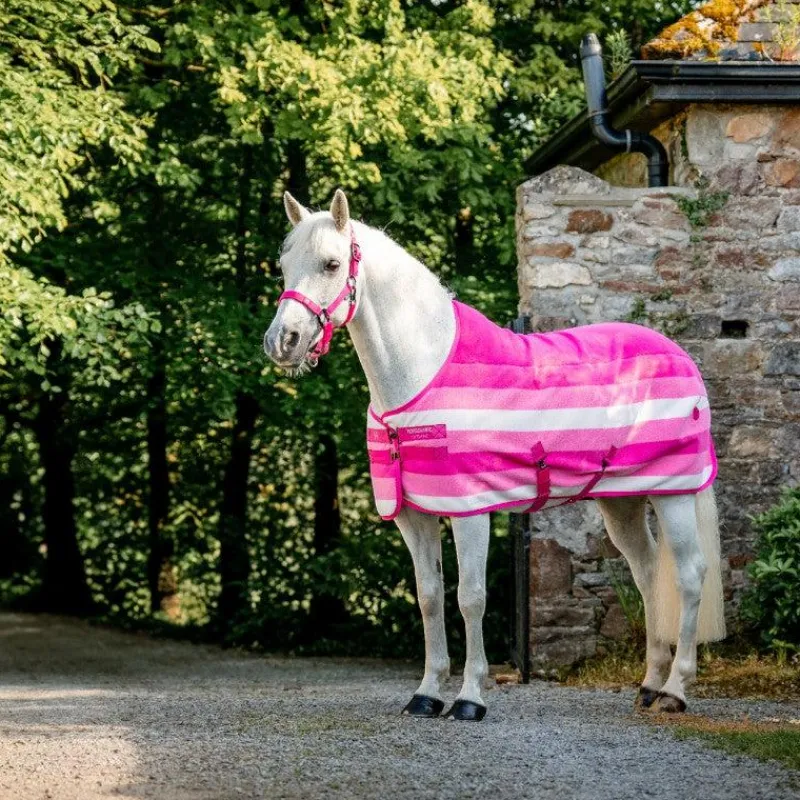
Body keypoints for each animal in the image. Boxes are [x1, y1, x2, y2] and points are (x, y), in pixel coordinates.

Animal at [263, 189, 726, 721]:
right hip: (623, 501)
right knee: (648, 572)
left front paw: (469, 698)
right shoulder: (414, 515)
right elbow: (428, 596)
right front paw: (426, 694)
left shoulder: (470, 511)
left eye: (332, 263)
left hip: (674, 493)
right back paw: (649, 684)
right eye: (284, 263)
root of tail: (680, 355)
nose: (281, 342)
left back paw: (674, 690)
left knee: (688, 576)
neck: (421, 373)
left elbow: (471, 598)